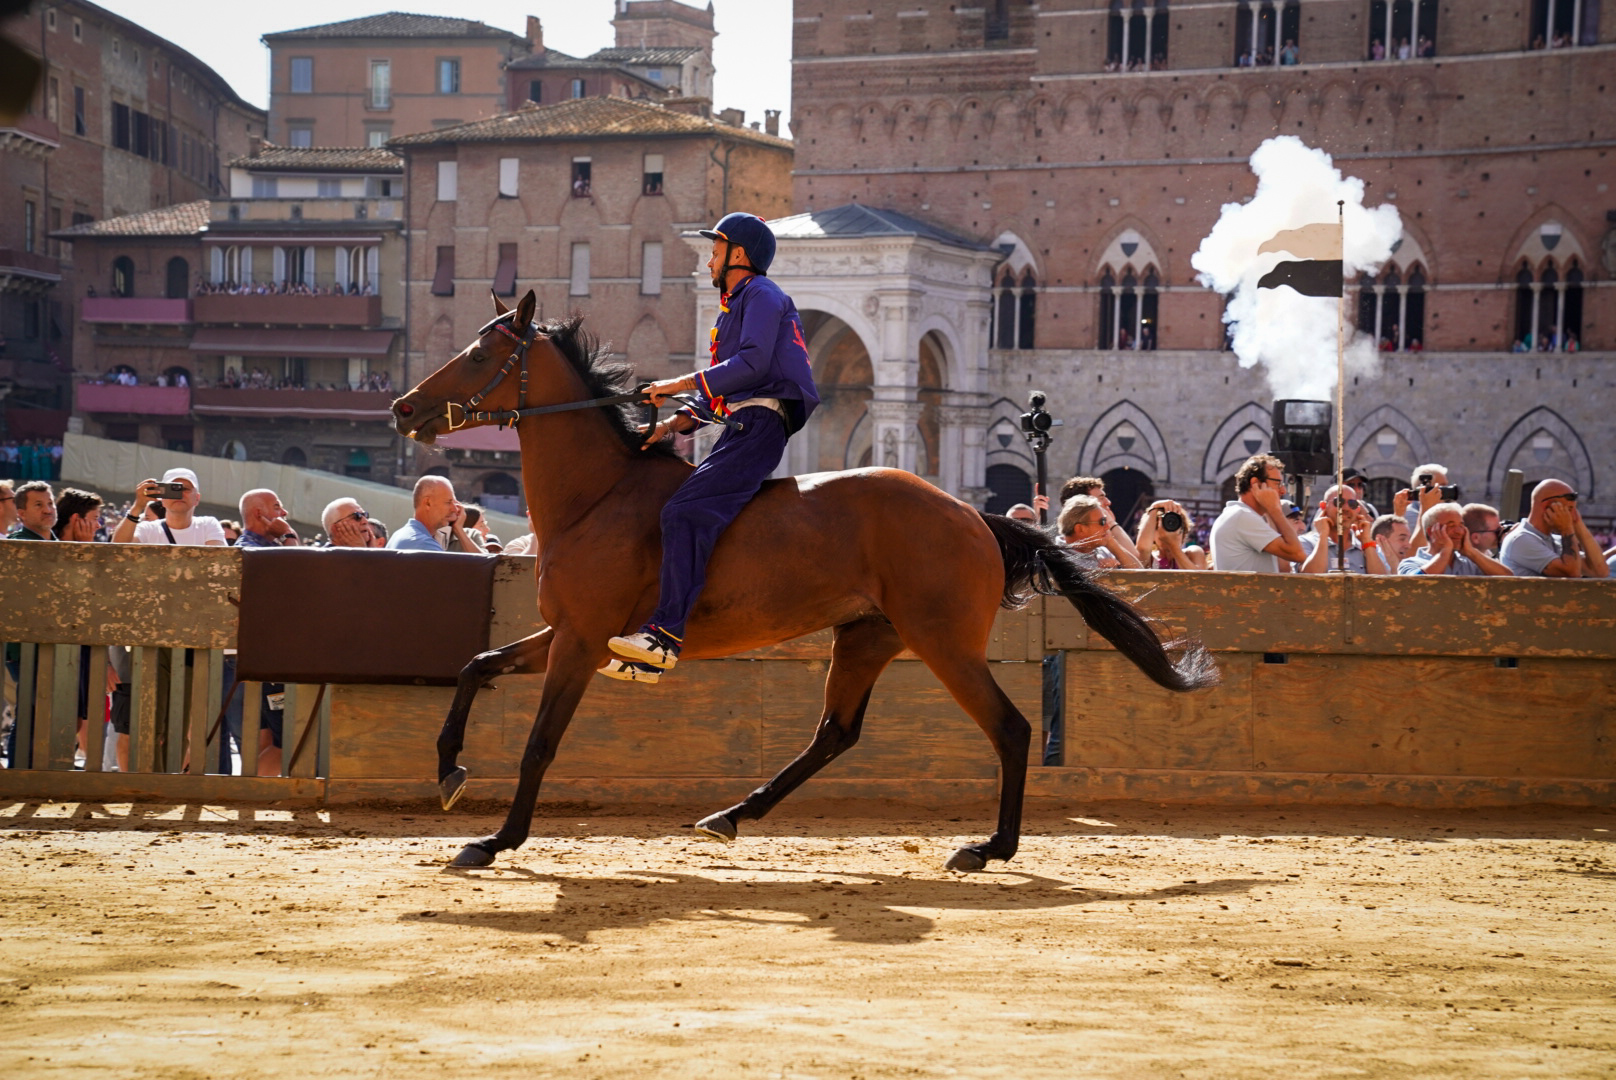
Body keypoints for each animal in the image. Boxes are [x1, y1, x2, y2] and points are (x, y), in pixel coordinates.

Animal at [391, 291, 1215, 873]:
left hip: (943, 643)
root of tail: (974, 515)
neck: (600, 494)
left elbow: (539, 743)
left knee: (1009, 729)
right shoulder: (568, 633)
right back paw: (732, 814)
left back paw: (990, 847)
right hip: (867, 638)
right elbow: (476, 665)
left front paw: (496, 840)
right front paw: (449, 769)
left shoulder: (582, 641)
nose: (404, 407)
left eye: (477, 354)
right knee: (834, 732)